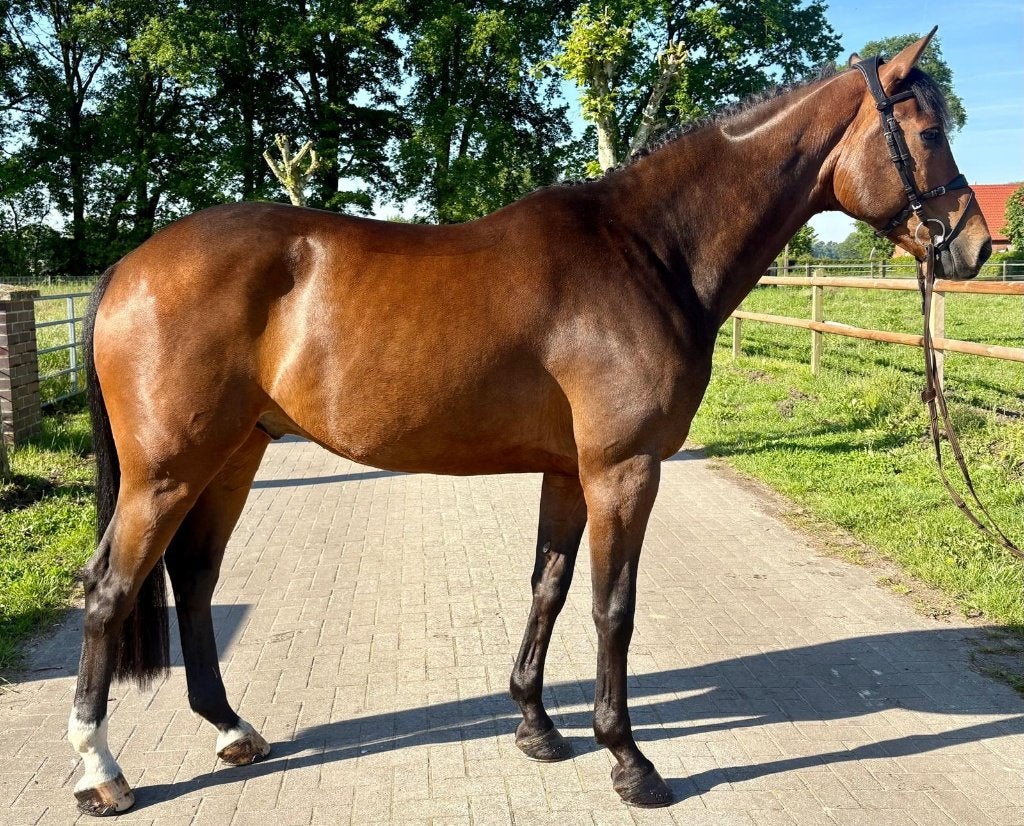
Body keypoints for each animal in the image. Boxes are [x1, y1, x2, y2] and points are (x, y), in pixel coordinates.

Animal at [68, 30, 991, 814]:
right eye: (927, 131)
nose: (975, 246)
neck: (649, 252)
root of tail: (132, 267)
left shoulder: (569, 471)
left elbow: (549, 586)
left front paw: (537, 727)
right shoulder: (625, 468)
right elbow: (612, 607)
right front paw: (629, 760)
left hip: (234, 456)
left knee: (194, 578)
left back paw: (231, 729)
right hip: (168, 471)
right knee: (110, 590)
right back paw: (101, 771)